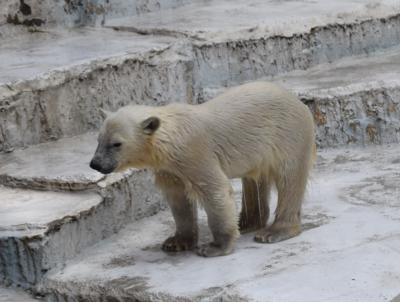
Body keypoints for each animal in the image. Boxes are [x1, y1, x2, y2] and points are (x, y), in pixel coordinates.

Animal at [90, 82, 316, 258]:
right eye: (99, 139)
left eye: (116, 144)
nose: (95, 164)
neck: (172, 137)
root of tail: (298, 102)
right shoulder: (170, 168)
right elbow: (178, 198)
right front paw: (176, 242)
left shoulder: (195, 153)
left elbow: (214, 190)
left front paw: (215, 246)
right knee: (254, 180)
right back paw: (246, 222)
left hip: (288, 135)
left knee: (289, 179)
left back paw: (273, 231)